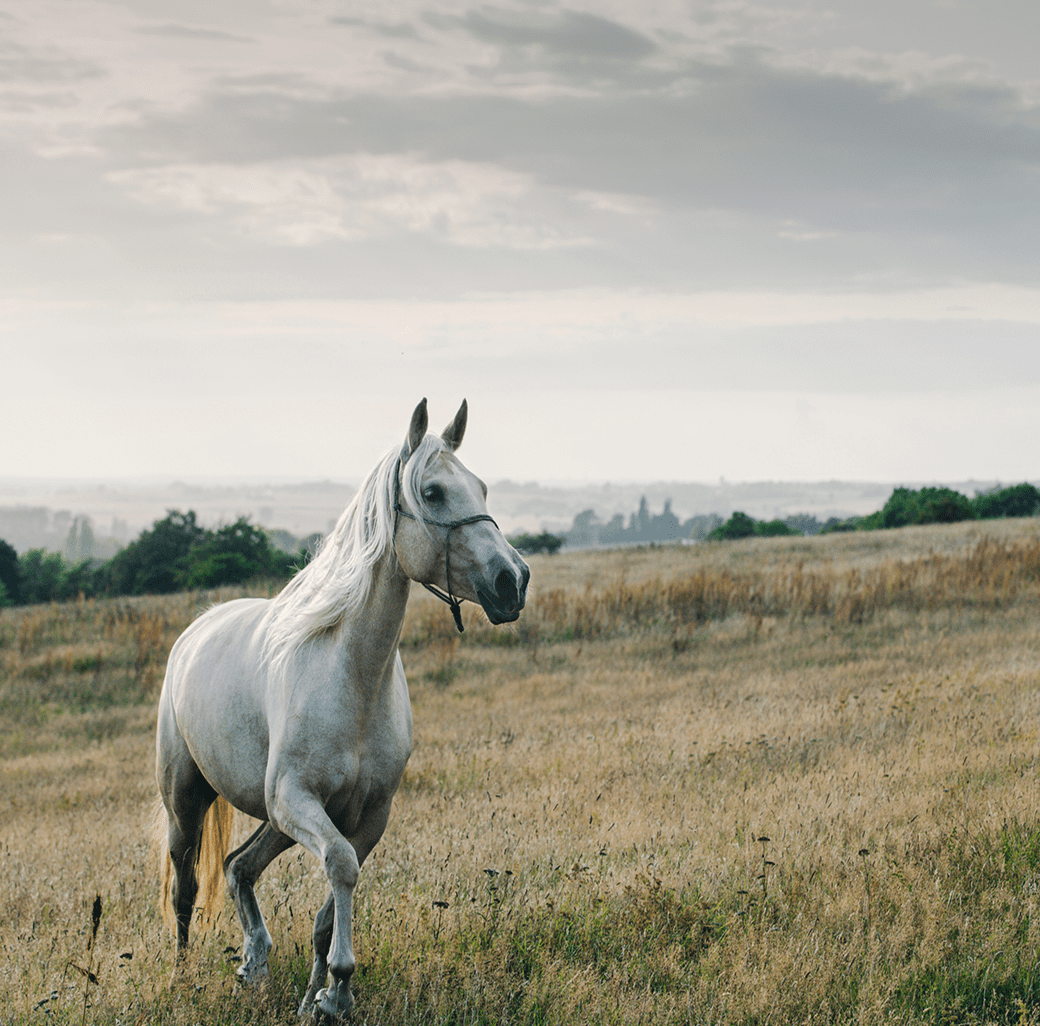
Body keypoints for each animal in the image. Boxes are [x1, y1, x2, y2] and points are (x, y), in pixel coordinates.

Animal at [153, 398, 530, 1020]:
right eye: (432, 493)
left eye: (479, 487)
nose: (512, 580)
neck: (350, 676)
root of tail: (196, 630)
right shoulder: (298, 800)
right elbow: (340, 868)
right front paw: (339, 987)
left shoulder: (365, 817)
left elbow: (331, 902)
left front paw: (319, 998)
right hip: (189, 801)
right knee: (186, 886)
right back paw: (183, 976)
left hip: (275, 821)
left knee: (238, 866)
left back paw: (254, 962)